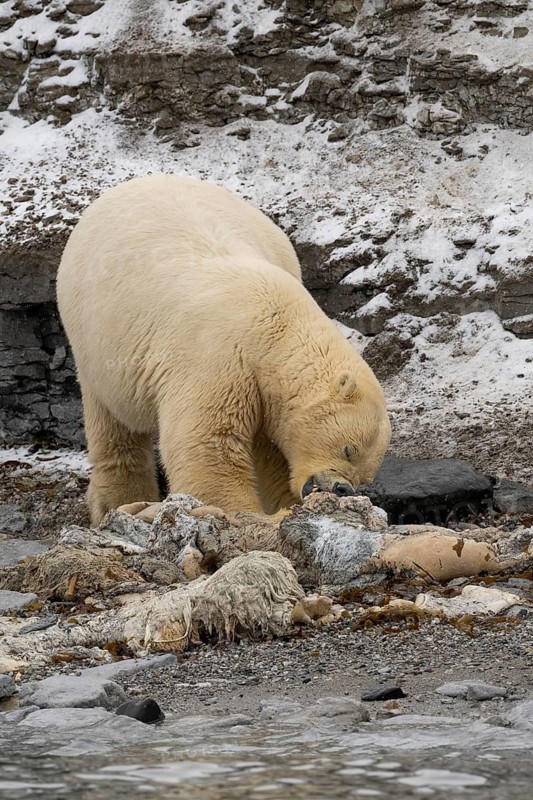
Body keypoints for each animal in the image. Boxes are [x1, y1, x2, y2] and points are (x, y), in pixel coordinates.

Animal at [57, 175, 391, 524]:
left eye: (365, 476)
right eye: (348, 449)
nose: (342, 489)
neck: (274, 326)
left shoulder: (263, 388)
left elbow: (272, 453)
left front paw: (288, 504)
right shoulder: (220, 356)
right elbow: (208, 441)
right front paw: (250, 513)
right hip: (96, 338)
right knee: (113, 423)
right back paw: (120, 501)